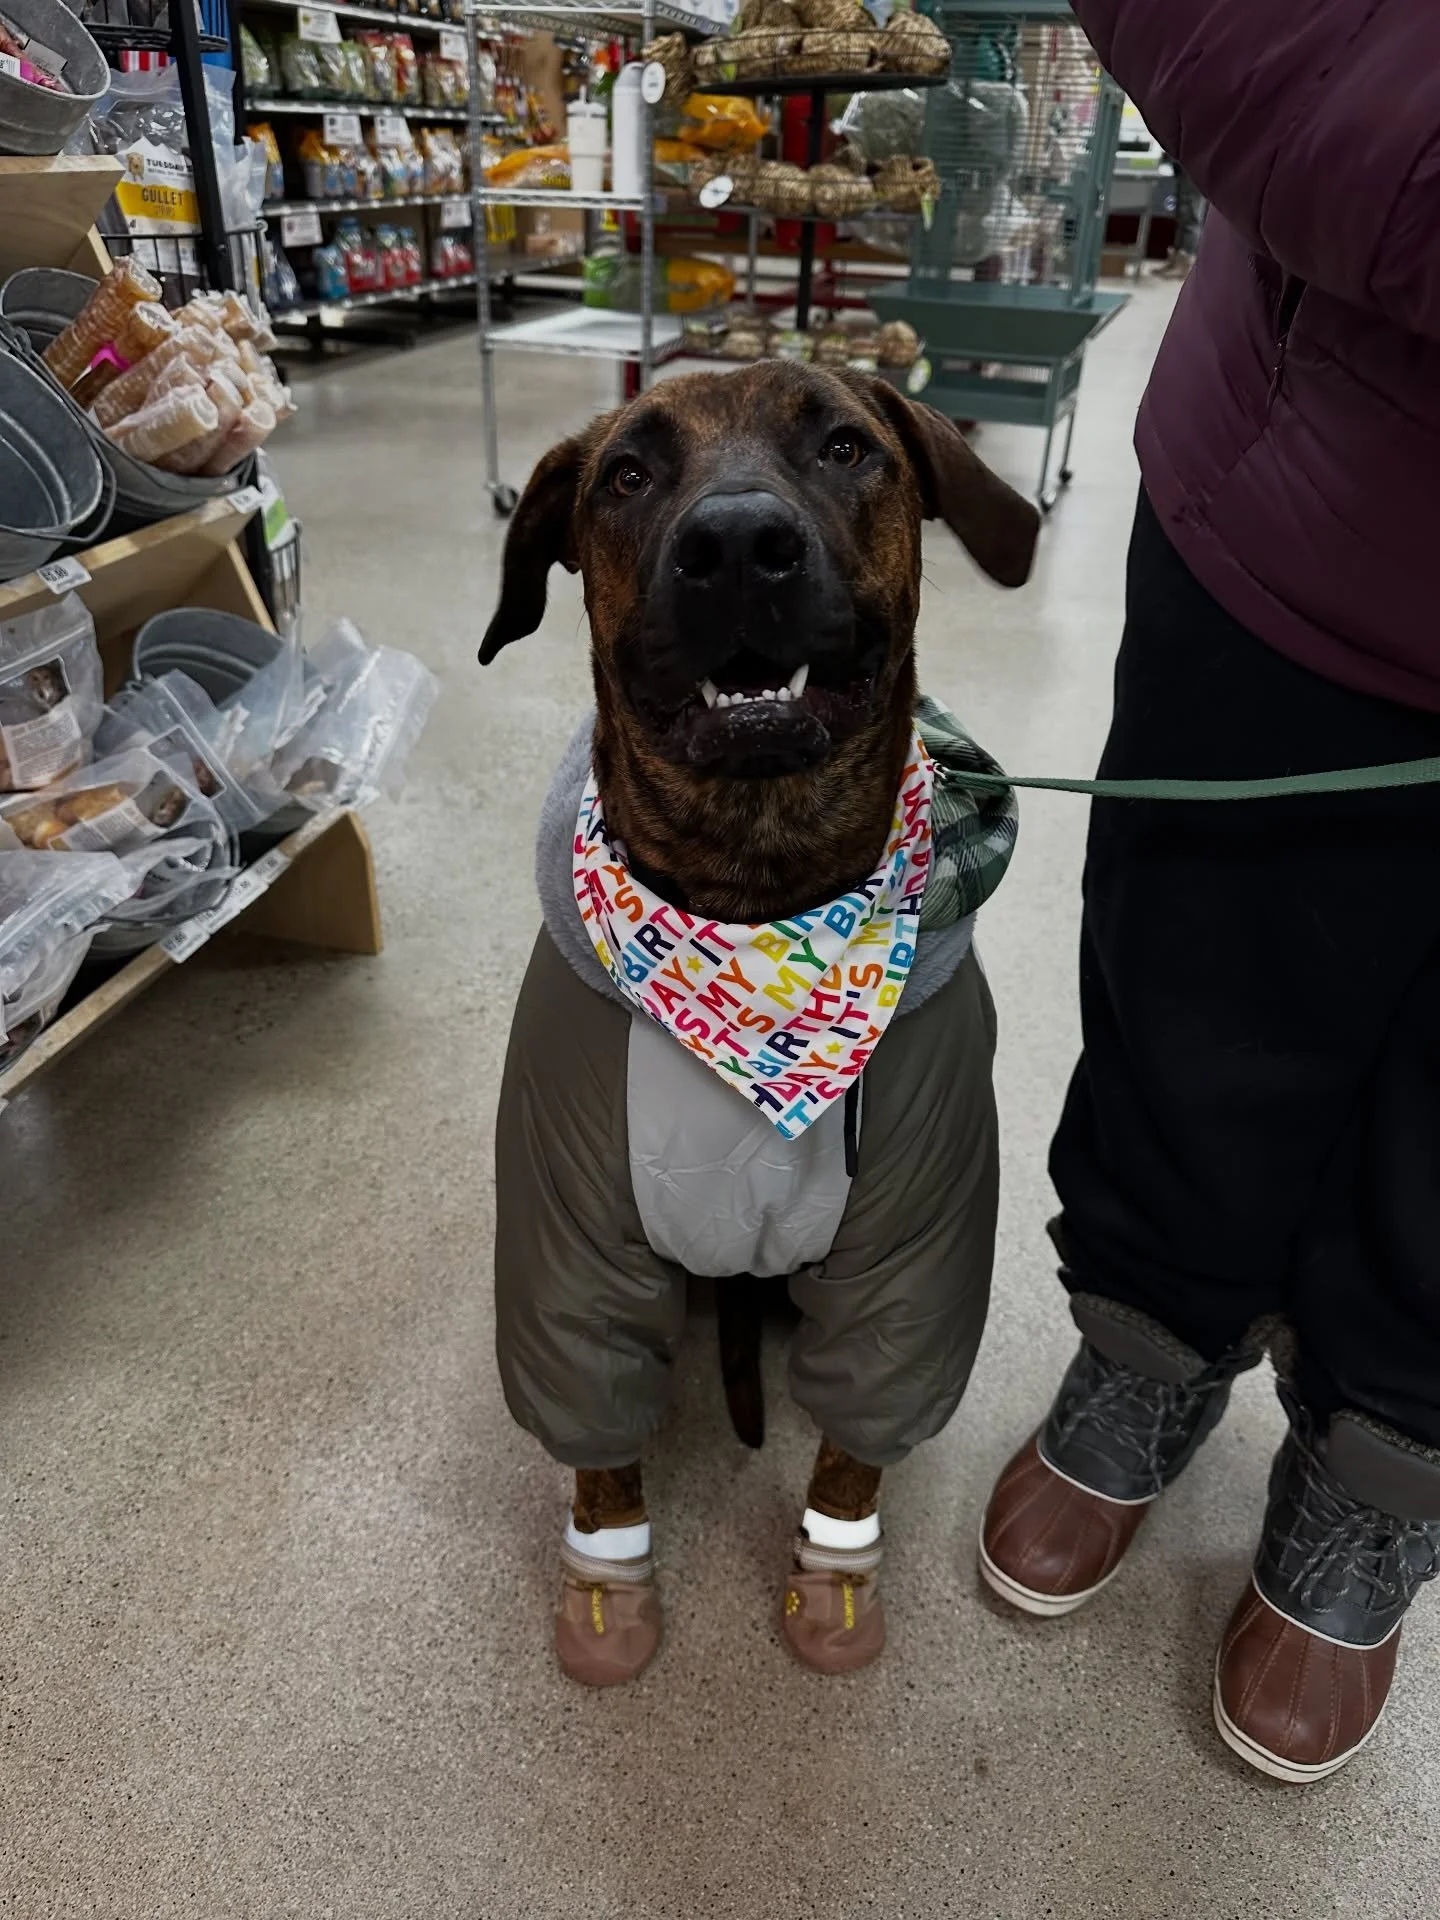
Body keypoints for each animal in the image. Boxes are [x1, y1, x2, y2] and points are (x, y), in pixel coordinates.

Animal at [481, 361, 1037, 1684]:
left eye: (844, 446)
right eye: (627, 473)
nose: (737, 545)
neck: (758, 903)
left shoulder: (917, 1245)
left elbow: (860, 1430)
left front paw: (833, 1570)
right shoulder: (565, 1235)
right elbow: (593, 1428)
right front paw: (608, 1581)